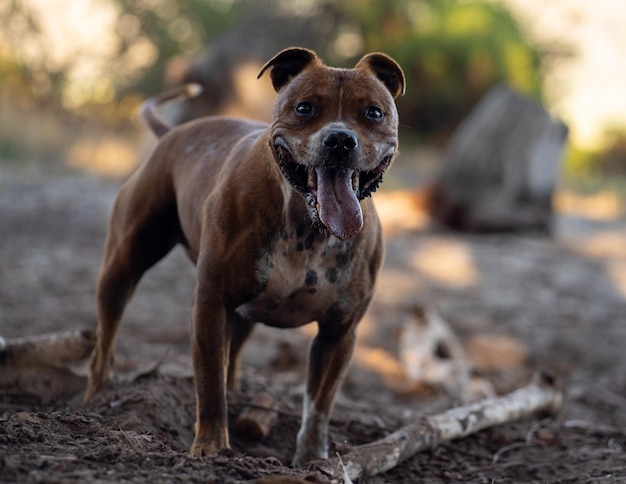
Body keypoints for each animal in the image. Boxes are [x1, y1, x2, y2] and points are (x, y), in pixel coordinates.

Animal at [84, 47, 404, 464]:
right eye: (305, 108)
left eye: (373, 113)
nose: (339, 140)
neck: (307, 226)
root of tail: (174, 133)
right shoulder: (210, 304)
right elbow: (208, 385)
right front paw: (210, 447)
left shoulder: (339, 332)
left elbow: (320, 404)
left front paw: (312, 459)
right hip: (122, 268)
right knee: (105, 344)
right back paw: (95, 400)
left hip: (245, 310)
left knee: (233, 354)